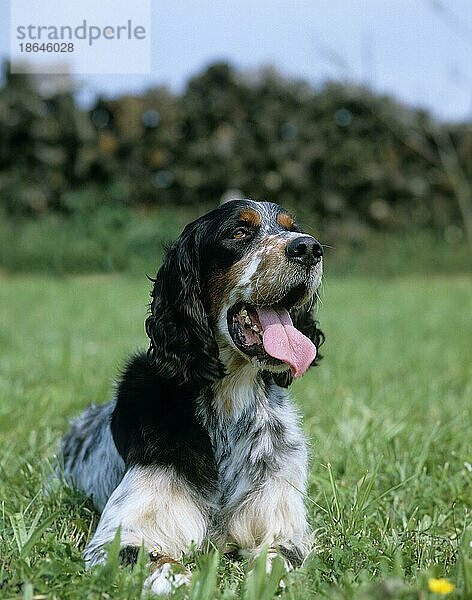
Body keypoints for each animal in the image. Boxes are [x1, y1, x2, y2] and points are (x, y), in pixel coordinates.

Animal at [59, 199, 324, 592]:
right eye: (239, 232)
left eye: (293, 229)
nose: (308, 248)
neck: (230, 402)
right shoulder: (118, 538)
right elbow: (165, 567)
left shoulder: (283, 527)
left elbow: (277, 560)